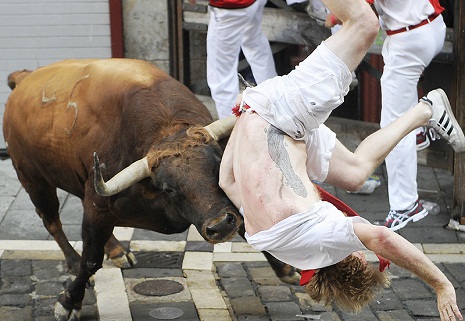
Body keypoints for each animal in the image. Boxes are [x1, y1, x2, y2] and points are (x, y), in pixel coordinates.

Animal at [2, 58, 298, 318]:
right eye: (168, 189)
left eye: (217, 165)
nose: (221, 225)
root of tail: (24, 78)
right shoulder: (98, 206)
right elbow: (90, 260)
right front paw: (68, 302)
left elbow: (249, 225)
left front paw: (285, 268)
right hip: (33, 179)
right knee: (52, 222)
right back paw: (74, 261)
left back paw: (117, 250)